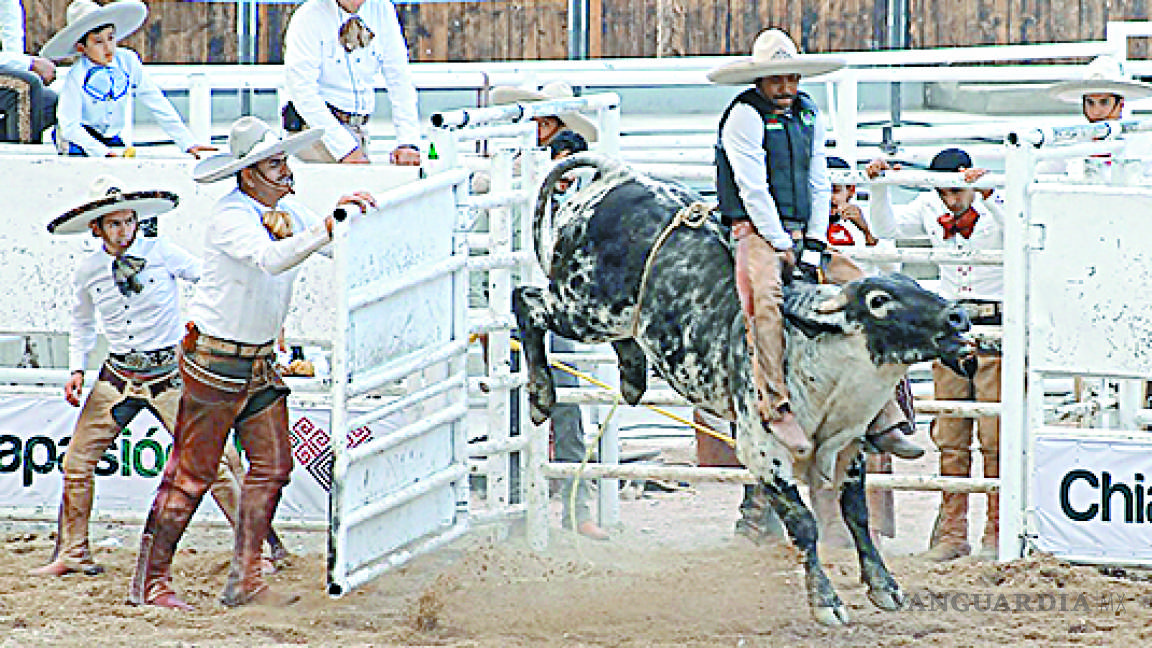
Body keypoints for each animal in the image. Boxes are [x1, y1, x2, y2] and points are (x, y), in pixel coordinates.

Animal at [513, 152, 972, 627]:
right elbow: (804, 524)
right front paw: (826, 601)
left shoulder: (849, 448)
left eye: (917, 286)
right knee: (526, 300)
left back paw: (633, 375)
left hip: (607, 315)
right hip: (584, 307)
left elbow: (858, 514)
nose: (957, 317)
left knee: (614, 332)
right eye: (879, 301)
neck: (824, 367)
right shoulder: (763, 452)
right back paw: (541, 395)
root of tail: (616, 174)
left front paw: (884, 585)